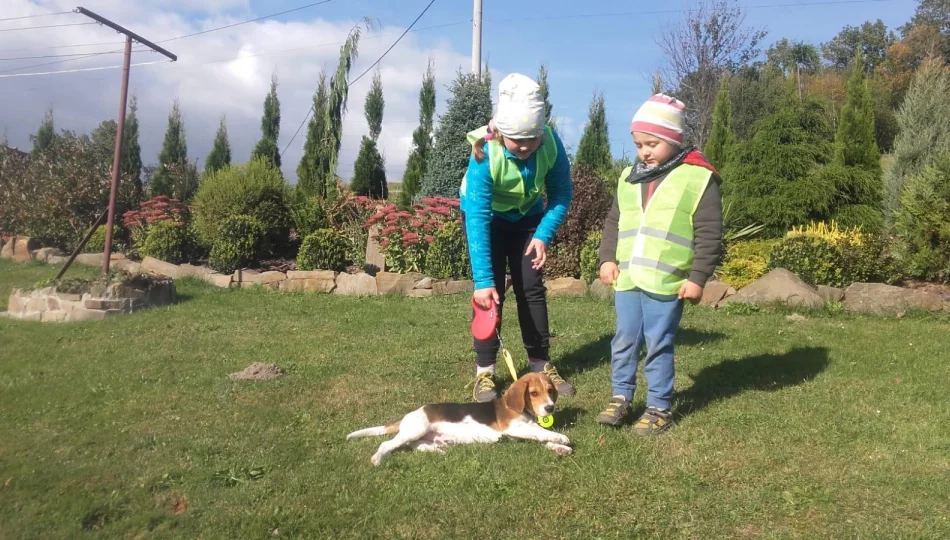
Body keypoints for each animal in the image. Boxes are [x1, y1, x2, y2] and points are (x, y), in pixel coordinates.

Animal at [348, 374, 572, 466]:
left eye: (550, 391)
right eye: (533, 393)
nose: (550, 408)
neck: (523, 411)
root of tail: (409, 414)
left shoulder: (520, 434)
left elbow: (541, 438)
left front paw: (560, 448)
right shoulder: (513, 429)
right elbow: (540, 432)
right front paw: (560, 438)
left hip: (421, 434)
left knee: (415, 445)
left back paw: (438, 448)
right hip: (416, 429)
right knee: (388, 444)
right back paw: (378, 459)